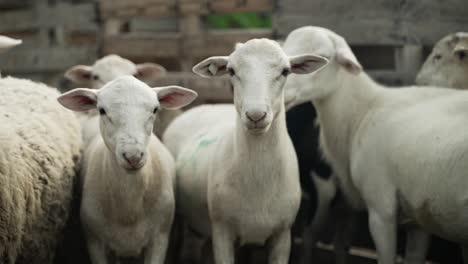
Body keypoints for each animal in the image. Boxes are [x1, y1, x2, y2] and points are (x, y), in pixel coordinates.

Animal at [57, 75, 197, 262]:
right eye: (102, 110)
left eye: (155, 109)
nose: (133, 156)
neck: (129, 210)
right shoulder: (95, 243)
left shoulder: (159, 240)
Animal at [165, 37, 330, 264]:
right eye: (231, 70)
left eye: (286, 71)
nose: (255, 115)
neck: (258, 182)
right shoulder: (222, 231)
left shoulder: (283, 234)